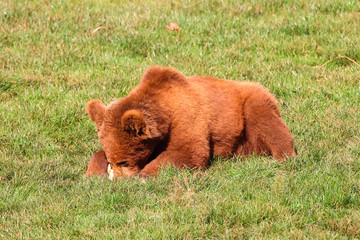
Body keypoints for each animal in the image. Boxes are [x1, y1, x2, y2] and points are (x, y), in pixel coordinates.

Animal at [87, 65, 296, 178]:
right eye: (112, 160)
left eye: (123, 161)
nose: (119, 178)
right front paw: (94, 172)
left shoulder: (187, 117)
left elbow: (188, 152)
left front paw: (145, 174)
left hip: (250, 107)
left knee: (267, 122)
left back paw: (284, 156)